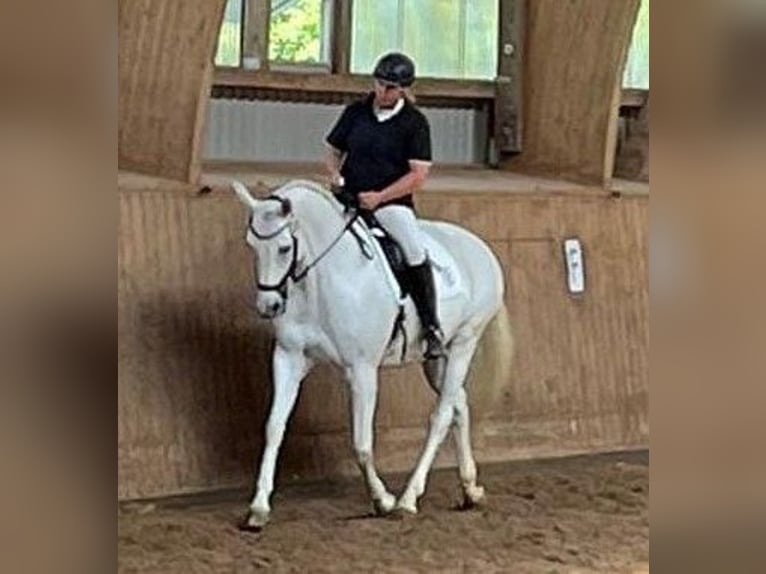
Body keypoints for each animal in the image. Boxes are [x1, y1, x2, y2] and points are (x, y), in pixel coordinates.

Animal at [231, 180, 512, 532]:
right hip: (438, 358)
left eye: (283, 248)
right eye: (251, 245)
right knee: (459, 405)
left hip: (464, 343)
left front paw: (383, 500)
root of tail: (480, 248)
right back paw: (470, 489)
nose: (268, 307)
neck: (325, 281)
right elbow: (274, 428)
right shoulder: (289, 359)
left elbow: (361, 443)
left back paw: (408, 499)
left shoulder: (361, 369)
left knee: (441, 416)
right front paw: (258, 508)